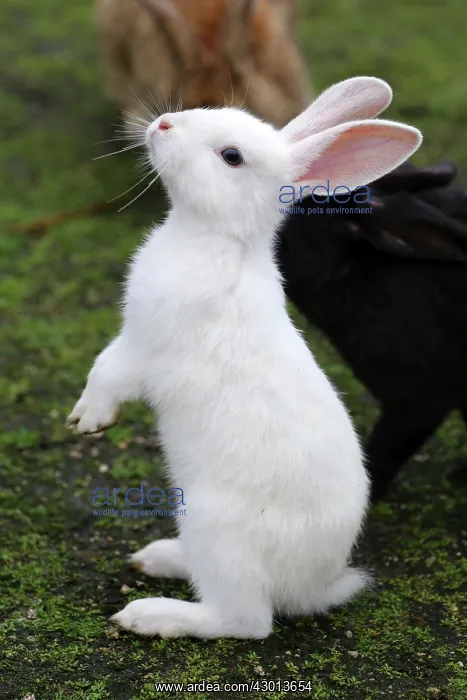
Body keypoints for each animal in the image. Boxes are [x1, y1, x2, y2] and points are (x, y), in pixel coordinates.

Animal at [67, 76, 421, 639]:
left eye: (231, 156)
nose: (163, 124)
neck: (215, 239)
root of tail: (316, 584)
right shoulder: (134, 337)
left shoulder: (144, 347)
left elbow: (108, 371)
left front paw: (89, 419)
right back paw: (158, 557)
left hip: (215, 527)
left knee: (245, 620)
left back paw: (150, 614)